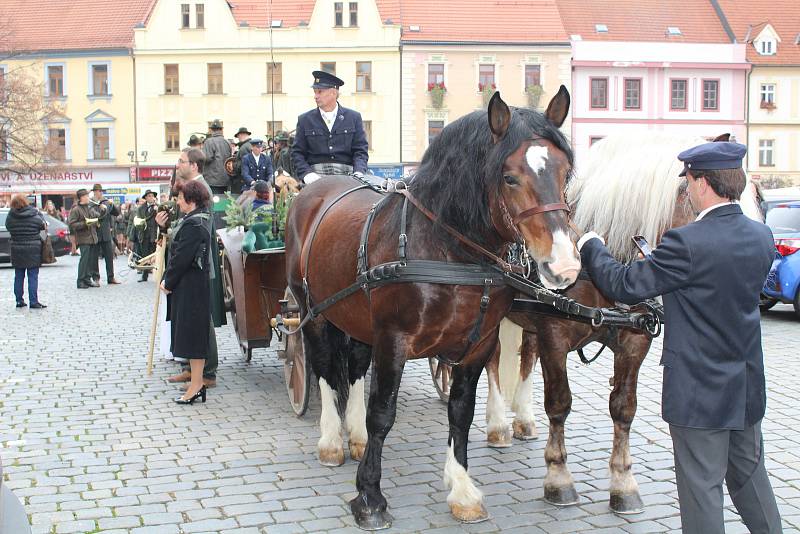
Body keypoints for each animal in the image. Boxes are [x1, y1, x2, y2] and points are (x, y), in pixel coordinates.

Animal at [286, 90, 580, 528]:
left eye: (565, 174)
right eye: (510, 177)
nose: (563, 266)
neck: (446, 248)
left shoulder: (477, 345)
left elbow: (460, 412)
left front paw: (461, 489)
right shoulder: (392, 340)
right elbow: (382, 413)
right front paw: (369, 496)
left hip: (356, 318)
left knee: (353, 368)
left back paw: (354, 436)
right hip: (314, 312)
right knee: (322, 367)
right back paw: (331, 441)